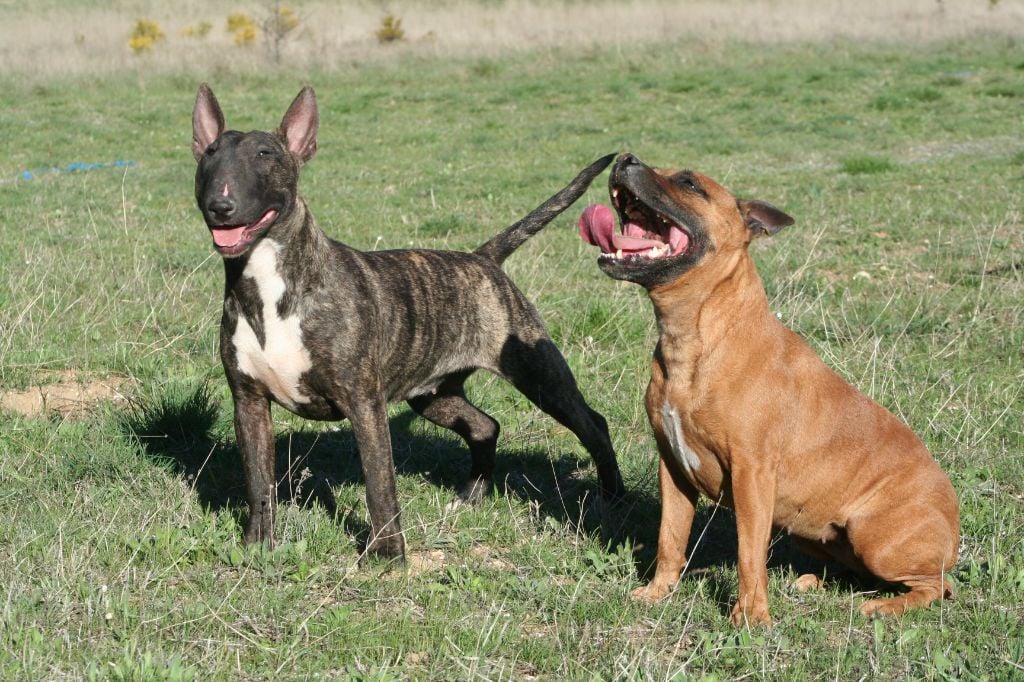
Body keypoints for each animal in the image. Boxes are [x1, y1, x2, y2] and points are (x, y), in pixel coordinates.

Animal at [190, 84, 625, 561]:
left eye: (265, 153)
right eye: (209, 153)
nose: (220, 205)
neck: (267, 282)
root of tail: (482, 258)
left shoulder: (364, 403)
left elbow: (380, 484)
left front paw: (386, 554)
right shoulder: (248, 402)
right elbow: (258, 481)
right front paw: (257, 546)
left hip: (539, 374)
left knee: (593, 424)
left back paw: (612, 498)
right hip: (433, 393)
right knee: (485, 426)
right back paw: (470, 497)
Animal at [578, 153, 959, 625]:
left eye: (689, 183)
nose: (625, 158)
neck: (698, 337)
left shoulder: (751, 474)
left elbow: (748, 555)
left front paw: (751, 619)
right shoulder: (673, 468)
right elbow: (670, 539)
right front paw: (657, 592)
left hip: (874, 536)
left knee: (937, 587)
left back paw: (885, 606)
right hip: (812, 531)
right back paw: (816, 582)